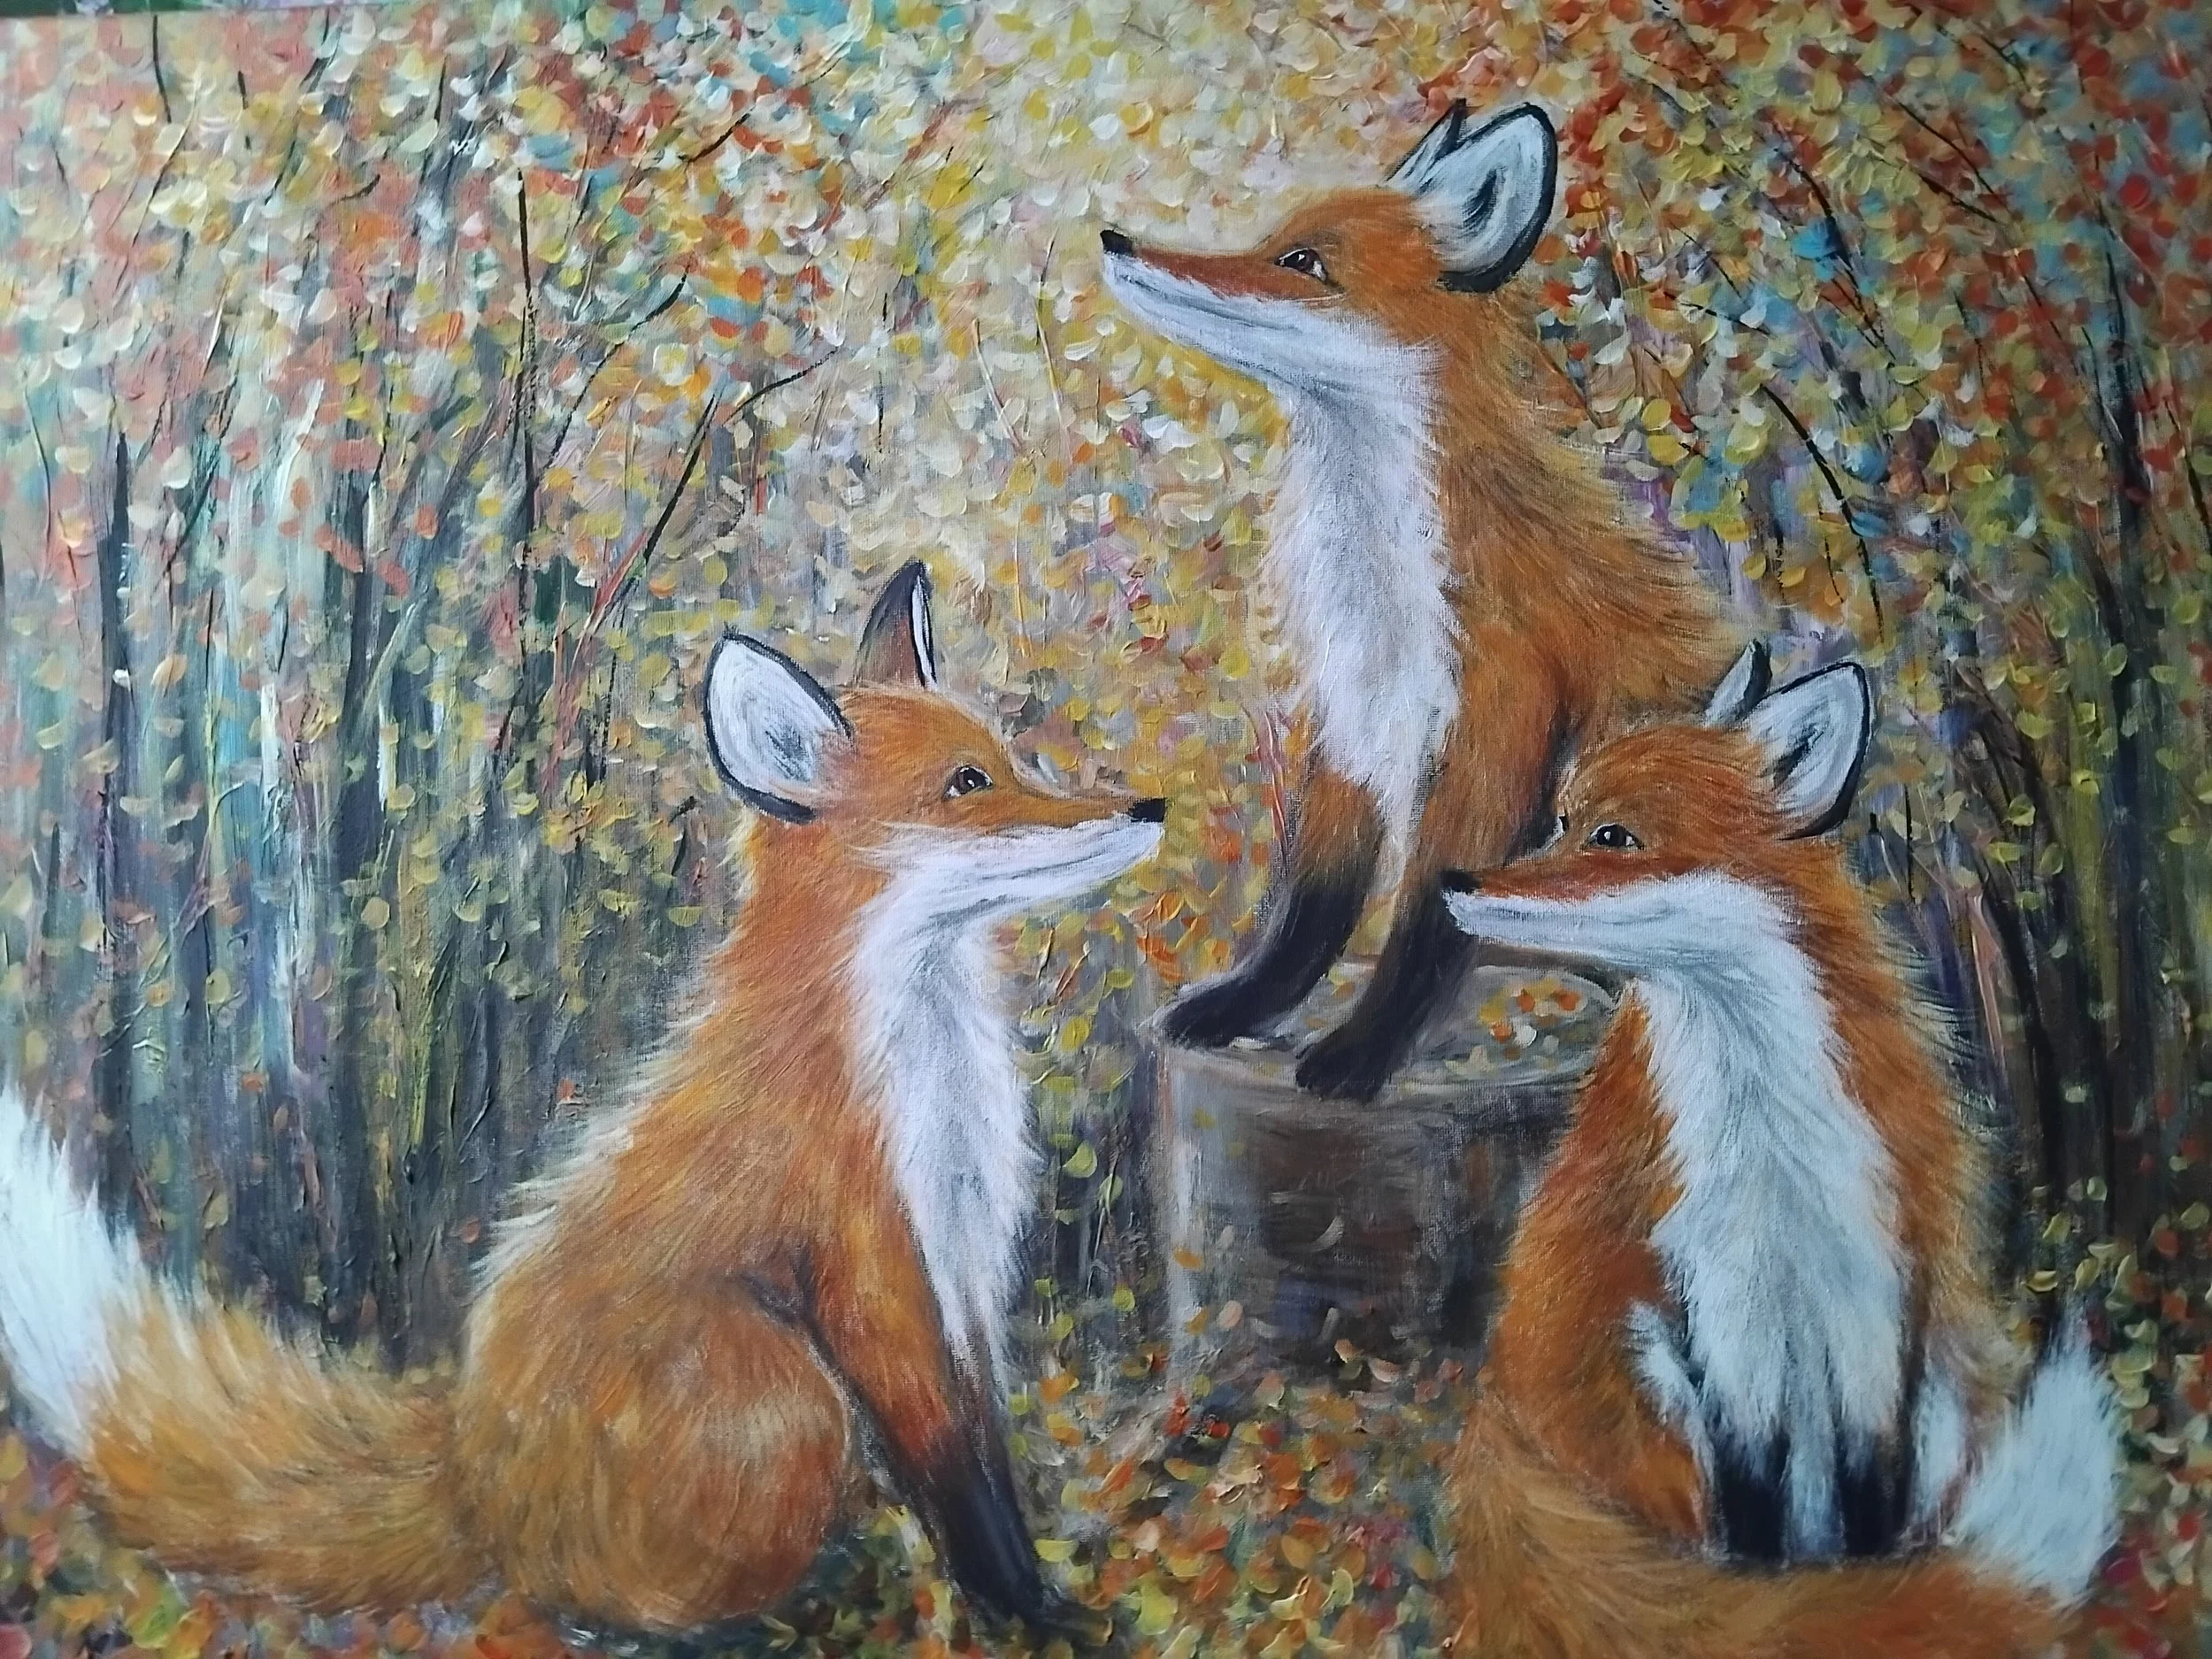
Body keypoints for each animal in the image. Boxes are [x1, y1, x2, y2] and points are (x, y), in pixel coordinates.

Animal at [0, 562, 1163, 1640]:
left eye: (1013, 757)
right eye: (967, 784)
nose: (1147, 804)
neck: (926, 1081)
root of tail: (469, 1472)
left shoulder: (966, 1265)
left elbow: (989, 1452)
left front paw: (1035, 1597)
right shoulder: (876, 1269)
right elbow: (954, 1473)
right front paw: (1027, 1614)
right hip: (779, 1387)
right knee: (592, 1599)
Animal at [1101, 97, 1743, 1101]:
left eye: (1301, 262)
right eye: (1272, 241)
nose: (1116, 238)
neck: (1385, 594)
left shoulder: (1492, 731)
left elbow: (1427, 920)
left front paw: (1357, 1057)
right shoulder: (1352, 723)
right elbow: (1312, 908)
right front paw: (1239, 1010)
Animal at [1435, 646, 2121, 1657]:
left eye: (1612, 836)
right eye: (1561, 819)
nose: (1456, 881)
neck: (1773, 1142)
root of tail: (1496, 1407)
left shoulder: (1876, 1293)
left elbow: (1871, 1501)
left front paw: (1866, 1589)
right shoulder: (1726, 1303)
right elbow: (1752, 1518)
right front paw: (1786, 1602)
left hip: (1943, 1385)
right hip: (1648, 1371)